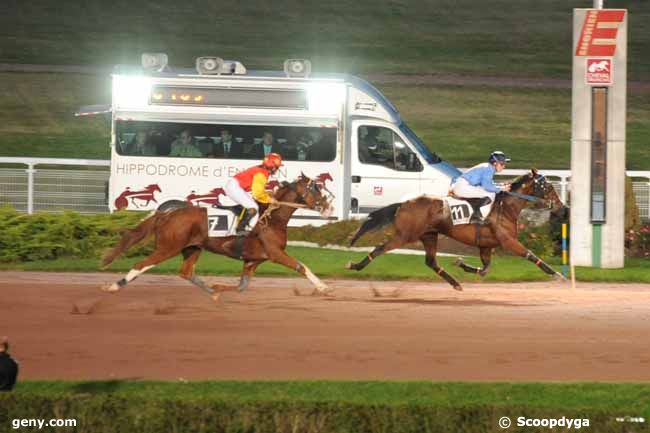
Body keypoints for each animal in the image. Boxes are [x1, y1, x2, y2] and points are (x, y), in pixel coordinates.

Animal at [102, 175, 334, 300]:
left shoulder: (252, 260)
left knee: (186, 273)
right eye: (316, 189)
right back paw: (113, 286)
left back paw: (212, 291)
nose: (329, 207)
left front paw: (220, 287)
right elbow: (301, 266)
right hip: (168, 248)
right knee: (141, 265)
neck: (272, 217)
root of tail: (166, 214)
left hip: (192, 248)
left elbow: (241, 286)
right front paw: (323, 287)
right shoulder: (275, 253)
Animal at [346, 169, 564, 290]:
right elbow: (530, 255)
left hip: (429, 235)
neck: (506, 207)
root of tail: (403, 203)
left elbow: (485, 269)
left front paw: (461, 263)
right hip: (405, 235)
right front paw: (556, 274)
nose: (561, 206)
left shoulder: (486, 246)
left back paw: (455, 283)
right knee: (379, 249)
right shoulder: (507, 241)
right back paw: (355, 265)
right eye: (547, 187)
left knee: (431, 262)